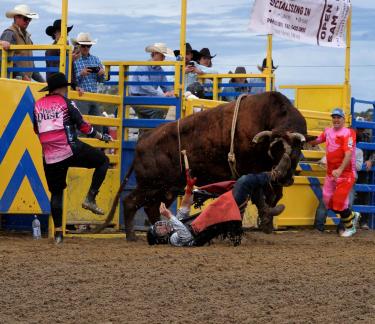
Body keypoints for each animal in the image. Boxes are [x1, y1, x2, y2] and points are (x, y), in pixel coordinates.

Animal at [98, 91, 306, 240]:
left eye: (297, 150)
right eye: (274, 149)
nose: (286, 176)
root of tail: (142, 141)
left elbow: (273, 196)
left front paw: (267, 224)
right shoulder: (250, 170)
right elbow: (259, 196)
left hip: (165, 189)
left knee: (152, 208)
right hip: (150, 185)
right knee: (130, 202)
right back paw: (132, 236)